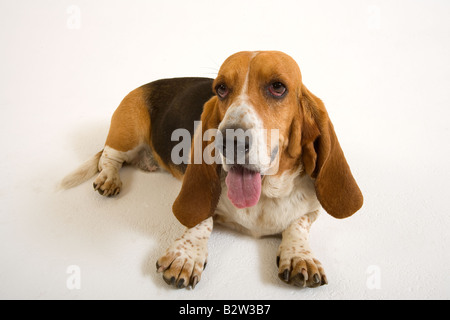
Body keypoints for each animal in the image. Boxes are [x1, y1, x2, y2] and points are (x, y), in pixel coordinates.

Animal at [60, 51, 362, 288]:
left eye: (278, 87)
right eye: (221, 89)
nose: (231, 141)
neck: (265, 195)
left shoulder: (311, 210)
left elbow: (297, 224)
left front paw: (301, 256)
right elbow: (201, 217)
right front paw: (186, 256)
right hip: (127, 130)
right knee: (108, 158)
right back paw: (108, 178)